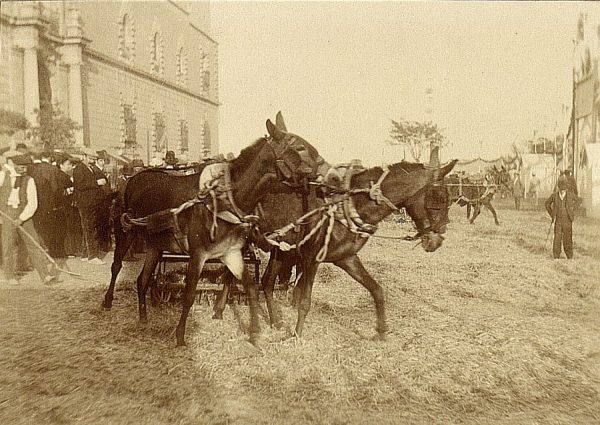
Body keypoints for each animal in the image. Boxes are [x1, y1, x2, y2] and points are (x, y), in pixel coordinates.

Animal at [102, 116, 324, 344]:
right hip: (125, 232)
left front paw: (254, 331)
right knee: (117, 266)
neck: (223, 199)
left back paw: (144, 317)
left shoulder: (231, 253)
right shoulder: (198, 254)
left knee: (142, 280)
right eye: (298, 147)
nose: (328, 171)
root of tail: (131, 180)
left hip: (155, 244)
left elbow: (249, 287)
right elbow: (189, 294)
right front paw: (180, 335)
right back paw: (108, 301)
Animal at [213, 157, 458, 340]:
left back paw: (268, 320)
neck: (349, 206)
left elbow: (376, 290)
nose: (437, 240)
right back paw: (222, 311)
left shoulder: (346, 258)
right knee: (236, 277)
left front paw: (381, 332)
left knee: (262, 282)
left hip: (278, 250)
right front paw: (297, 334)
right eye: (438, 198)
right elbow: (304, 300)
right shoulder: (311, 258)